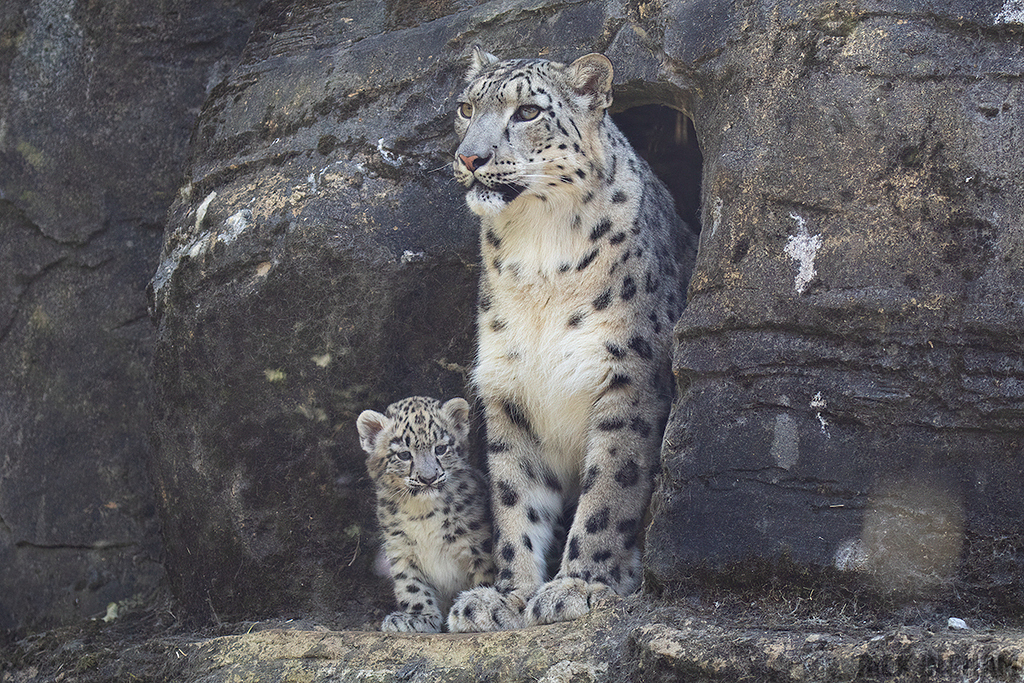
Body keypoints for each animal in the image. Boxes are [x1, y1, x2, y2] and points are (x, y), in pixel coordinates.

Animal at [357, 395, 494, 633]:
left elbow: (484, 576)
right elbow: (411, 586)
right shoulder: (401, 549)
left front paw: (476, 608)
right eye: (404, 454)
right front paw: (418, 618)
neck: (422, 514)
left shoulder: (479, 545)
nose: (428, 478)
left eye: (440, 449)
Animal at [446, 47, 694, 631]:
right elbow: (515, 499)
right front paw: (506, 596)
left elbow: (609, 489)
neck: (539, 257)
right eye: (466, 107)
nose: (470, 157)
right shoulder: (510, 389)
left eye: (528, 112)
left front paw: (578, 586)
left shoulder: (630, 377)